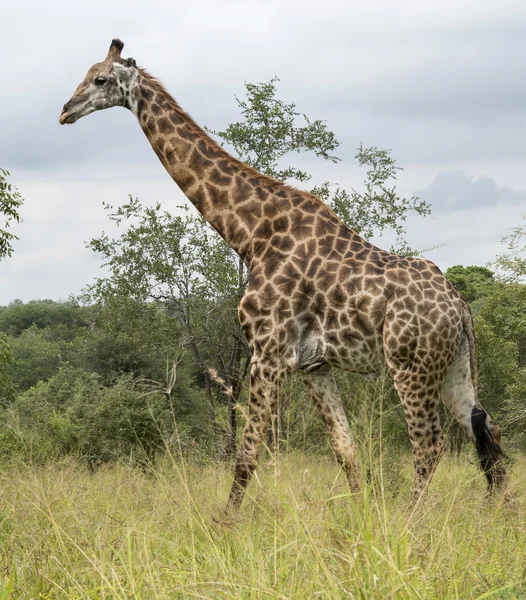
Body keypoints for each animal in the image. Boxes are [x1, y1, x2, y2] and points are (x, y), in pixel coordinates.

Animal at [59, 39, 510, 510]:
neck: (250, 233)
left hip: (410, 367)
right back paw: (499, 514)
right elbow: (345, 450)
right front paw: (361, 518)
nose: (65, 111)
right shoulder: (313, 365)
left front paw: (225, 523)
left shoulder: (267, 351)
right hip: (454, 367)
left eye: (100, 79)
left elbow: (247, 453)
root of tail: (460, 306)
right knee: (487, 430)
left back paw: (408, 519)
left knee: (430, 445)